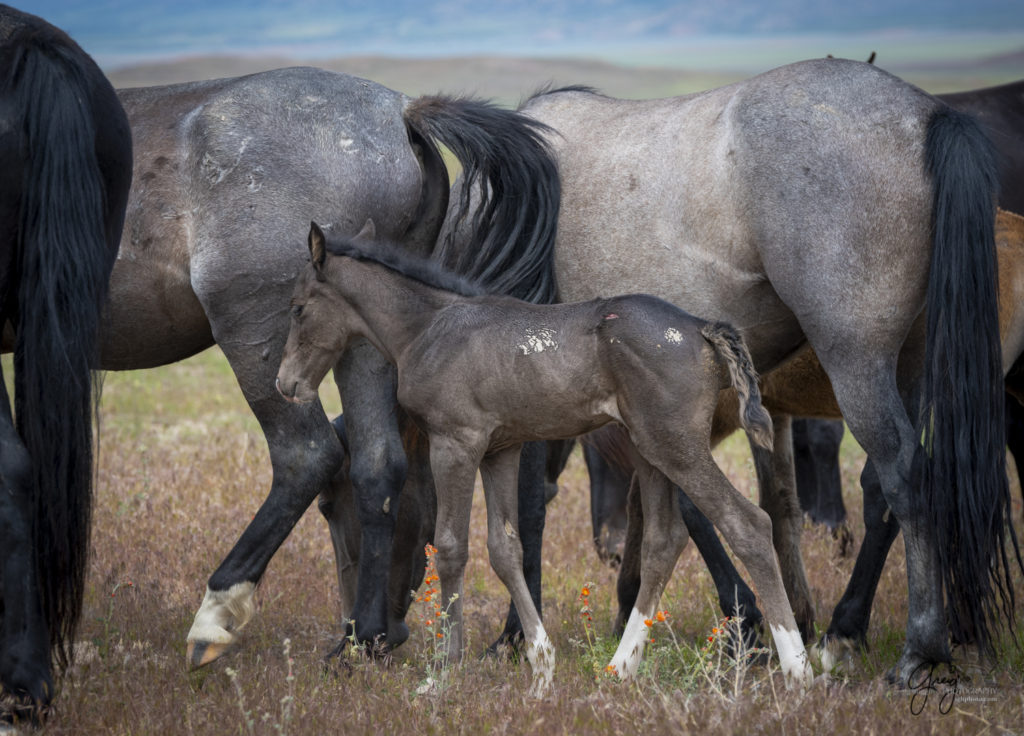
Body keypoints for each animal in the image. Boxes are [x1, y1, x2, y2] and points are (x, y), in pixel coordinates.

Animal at [77, 67, 561, 667]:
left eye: (331, 508)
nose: (395, 629)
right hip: (360, 332)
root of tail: (401, 112)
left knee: (304, 454)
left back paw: (222, 615)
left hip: (255, 334)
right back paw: (361, 641)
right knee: (379, 463)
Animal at [274, 223, 815, 691]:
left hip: (676, 444)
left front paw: (444, 673)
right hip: (648, 449)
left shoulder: (455, 443)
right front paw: (541, 661)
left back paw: (797, 668)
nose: (286, 384)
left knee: (747, 522)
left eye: (298, 308)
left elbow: (450, 547)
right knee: (664, 541)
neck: (429, 327)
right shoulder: (500, 450)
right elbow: (505, 549)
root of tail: (701, 327)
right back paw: (620, 666)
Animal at [497, 57, 1015, 683]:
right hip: (910, 366)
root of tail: (929, 117)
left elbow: (533, 505)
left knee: (905, 479)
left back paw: (917, 649)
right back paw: (852, 632)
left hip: (858, 362)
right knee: (892, 490)